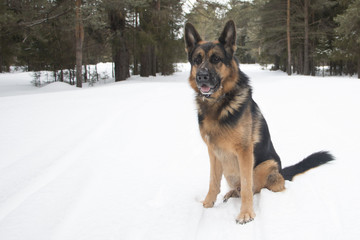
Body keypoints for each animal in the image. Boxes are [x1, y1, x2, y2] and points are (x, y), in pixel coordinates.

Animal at [184, 19, 334, 224]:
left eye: (216, 59)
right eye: (197, 60)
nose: (201, 76)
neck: (219, 103)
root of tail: (281, 171)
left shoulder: (245, 152)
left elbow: (248, 185)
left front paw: (246, 213)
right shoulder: (213, 152)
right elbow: (213, 181)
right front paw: (208, 203)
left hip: (265, 166)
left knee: (261, 187)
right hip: (229, 171)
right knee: (239, 187)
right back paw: (232, 193)